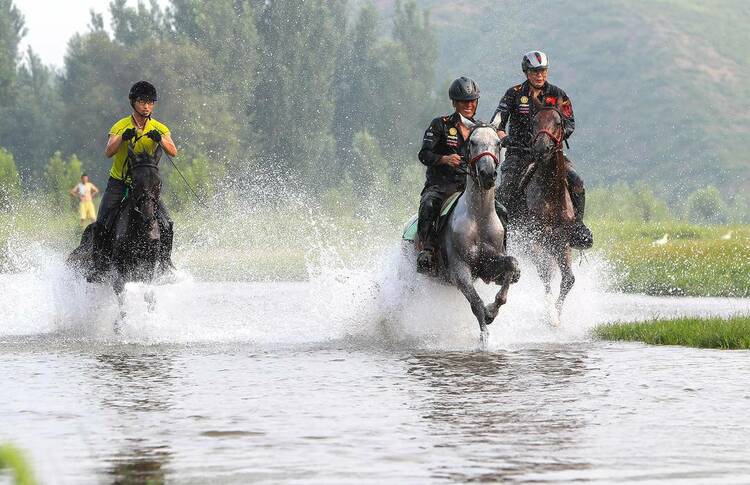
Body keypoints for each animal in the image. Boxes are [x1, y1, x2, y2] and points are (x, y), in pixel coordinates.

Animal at [520, 97, 580, 326]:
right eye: (534, 121)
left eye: (558, 122)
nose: (542, 149)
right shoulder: (535, 241)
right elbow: (544, 274)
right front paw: (550, 313)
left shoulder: (562, 244)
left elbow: (568, 279)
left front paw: (557, 313)